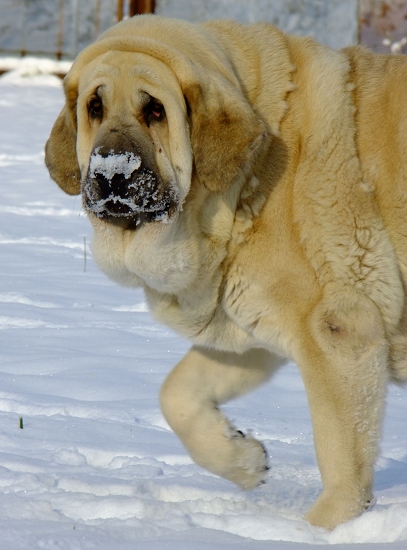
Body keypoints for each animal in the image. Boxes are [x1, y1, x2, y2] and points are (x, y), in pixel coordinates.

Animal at [45, 12, 407, 532]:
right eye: (94, 106)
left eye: (156, 110)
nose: (112, 173)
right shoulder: (250, 331)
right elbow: (176, 394)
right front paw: (242, 459)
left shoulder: (338, 330)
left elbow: (341, 454)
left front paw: (324, 528)